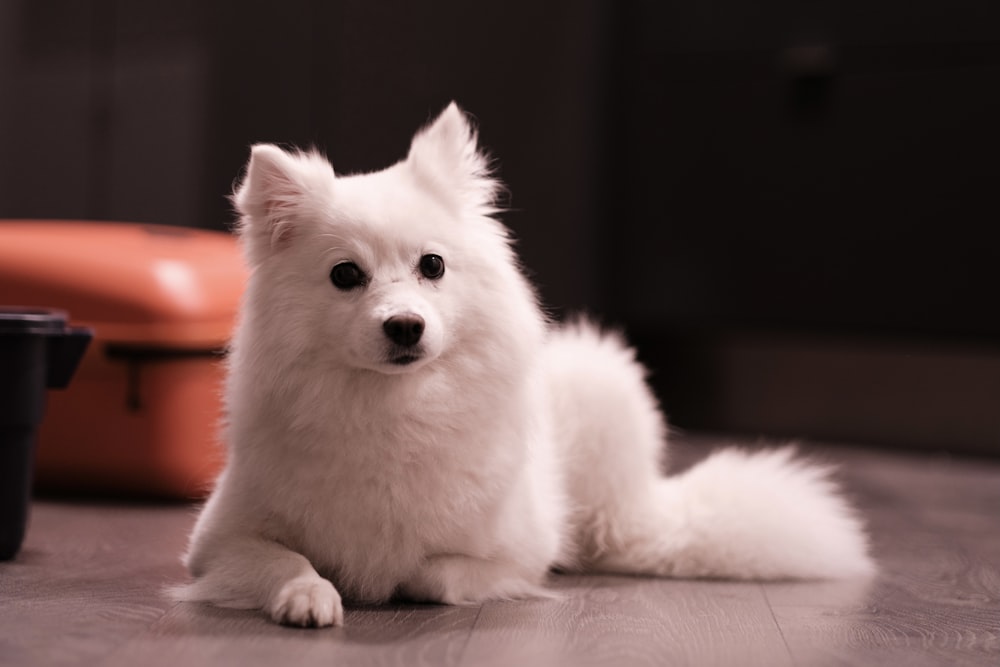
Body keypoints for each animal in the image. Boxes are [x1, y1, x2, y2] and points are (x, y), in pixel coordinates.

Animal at [180, 103, 876, 628]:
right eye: (346, 275)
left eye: (432, 265)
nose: (405, 325)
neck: (396, 407)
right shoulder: (217, 542)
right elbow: (286, 560)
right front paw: (309, 593)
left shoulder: (521, 553)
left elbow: (433, 573)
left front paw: (394, 576)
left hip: (605, 400)